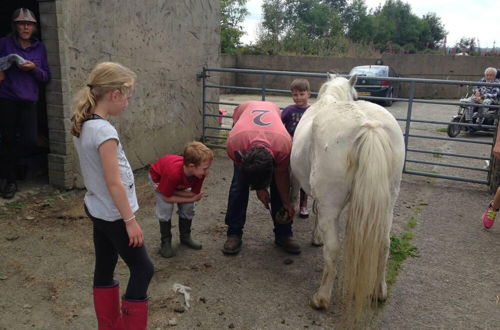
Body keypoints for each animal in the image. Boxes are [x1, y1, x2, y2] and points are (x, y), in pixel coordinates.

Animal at [292, 75, 404, 322]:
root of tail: (367, 126)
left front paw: (316, 238)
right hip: (388, 202)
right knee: (384, 242)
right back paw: (380, 291)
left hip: (332, 203)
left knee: (333, 249)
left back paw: (321, 298)